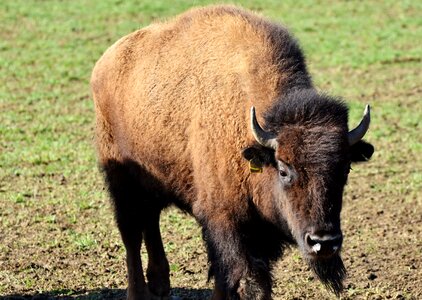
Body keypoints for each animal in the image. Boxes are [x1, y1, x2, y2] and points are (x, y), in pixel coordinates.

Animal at [90, 4, 374, 300]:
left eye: (345, 169)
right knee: (132, 234)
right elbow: (238, 278)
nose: (323, 242)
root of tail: (106, 60)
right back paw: (139, 292)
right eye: (283, 169)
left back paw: (160, 283)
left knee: (150, 220)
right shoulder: (224, 221)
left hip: (153, 177)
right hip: (121, 181)